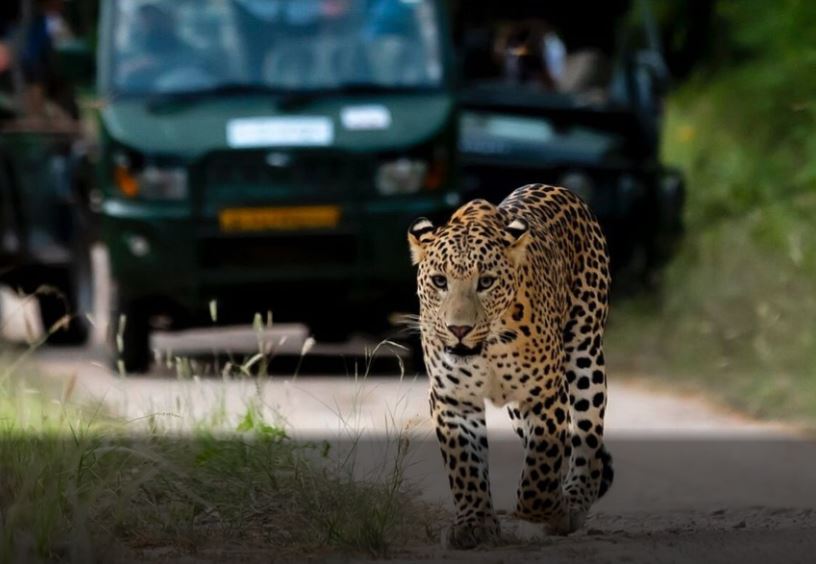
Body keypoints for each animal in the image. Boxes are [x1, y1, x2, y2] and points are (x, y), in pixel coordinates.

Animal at [407, 183, 614, 549]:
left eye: (486, 282)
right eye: (440, 281)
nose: (458, 329)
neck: (488, 349)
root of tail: (554, 187)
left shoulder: (544, 394)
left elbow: (540, 471)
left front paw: (551, 509)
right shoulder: (453, 399)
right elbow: (466, 465)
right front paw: (474, 523)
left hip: (585, 352)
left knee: (586, 435)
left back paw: (575, 498)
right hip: (517, 405)